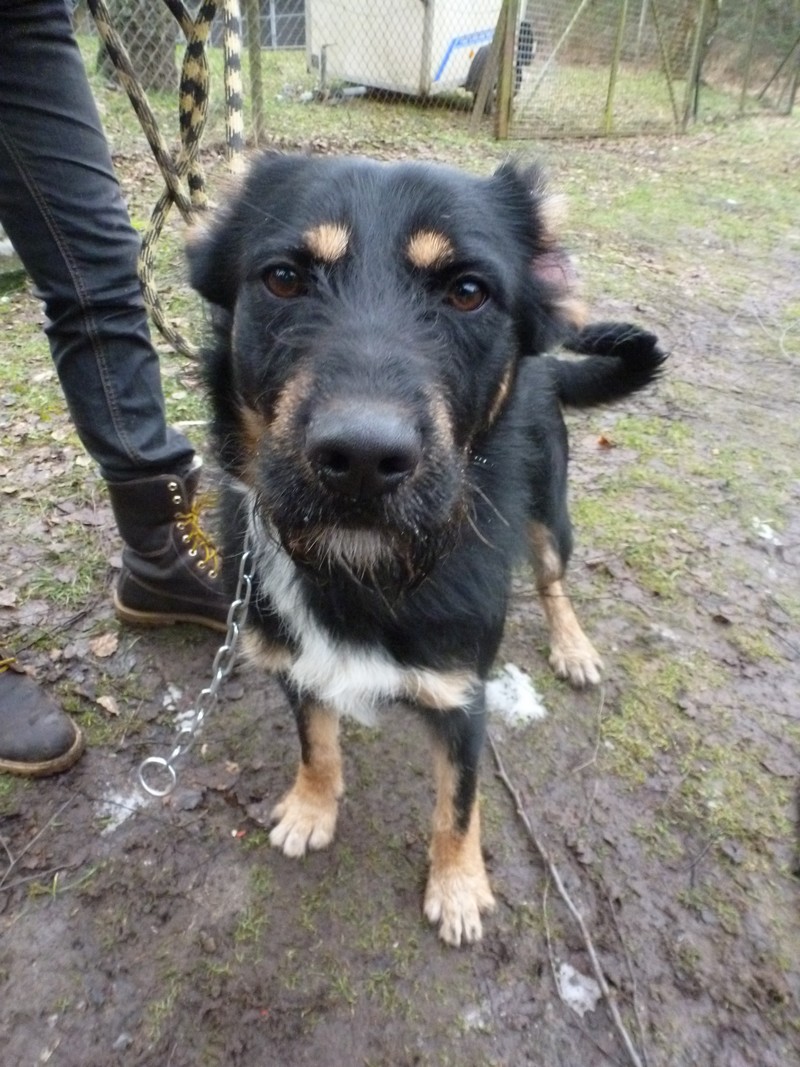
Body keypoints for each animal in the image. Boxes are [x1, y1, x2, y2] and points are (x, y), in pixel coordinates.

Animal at [186, 154, 665, 947]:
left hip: (548, 512)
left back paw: (572, 646)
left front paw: (459, 886)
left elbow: (459, 803)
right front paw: (312, 806)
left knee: (552, 578)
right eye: (283, 278)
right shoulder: (294, 659)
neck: (363, 566)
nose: (360, 459)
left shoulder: (462, 693)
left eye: (468, 291)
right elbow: (316, 742)